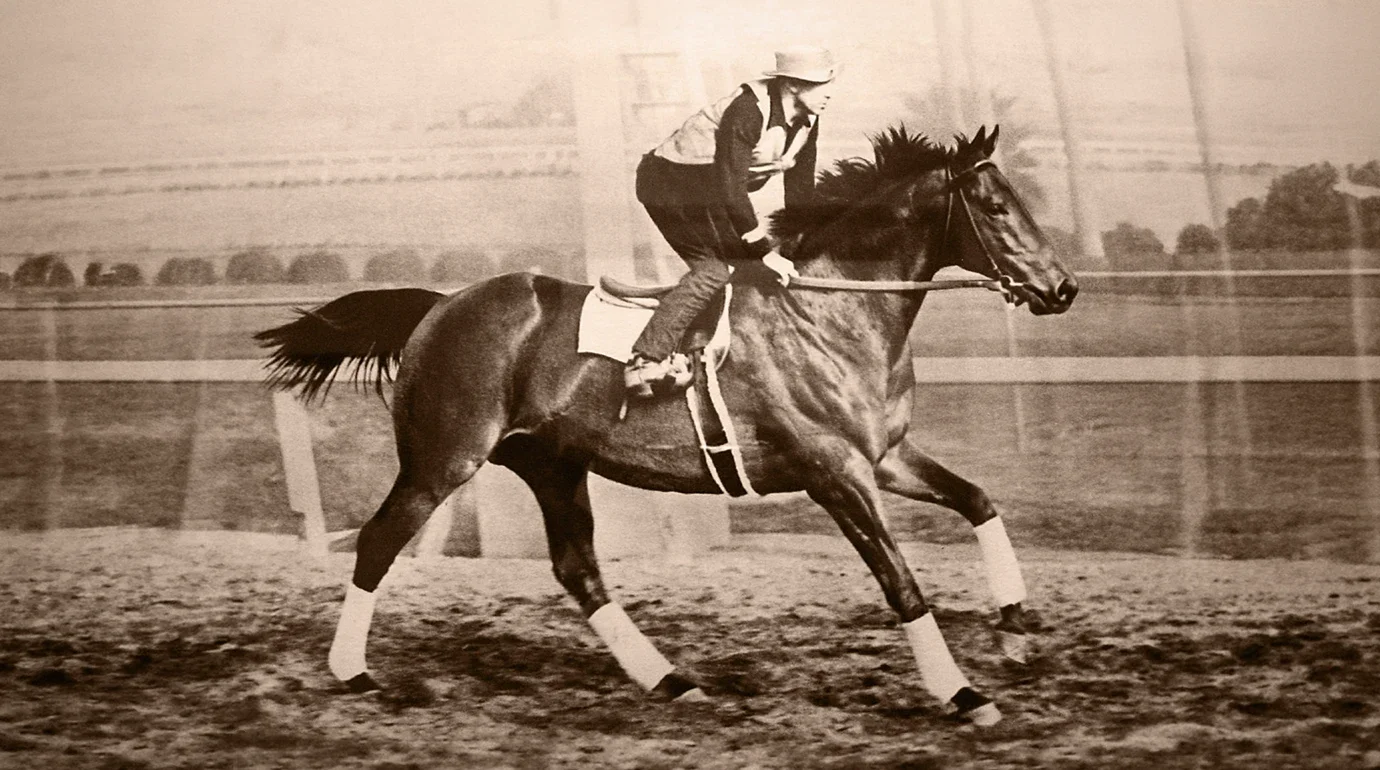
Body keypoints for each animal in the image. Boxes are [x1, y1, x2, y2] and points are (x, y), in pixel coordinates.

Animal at [256, 125, 1078, 727]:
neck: (831, 310)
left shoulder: (886, 457)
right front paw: (963, 694)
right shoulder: (834, 471)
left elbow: (979, 501)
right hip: (444, 460)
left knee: (578, 569)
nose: (1063, 288)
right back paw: (352, 672)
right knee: (378, 541)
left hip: (551, 463)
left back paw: (671, 681)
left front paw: (1014, 629)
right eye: (996, 208)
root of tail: (439, 305)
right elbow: (901, 582)